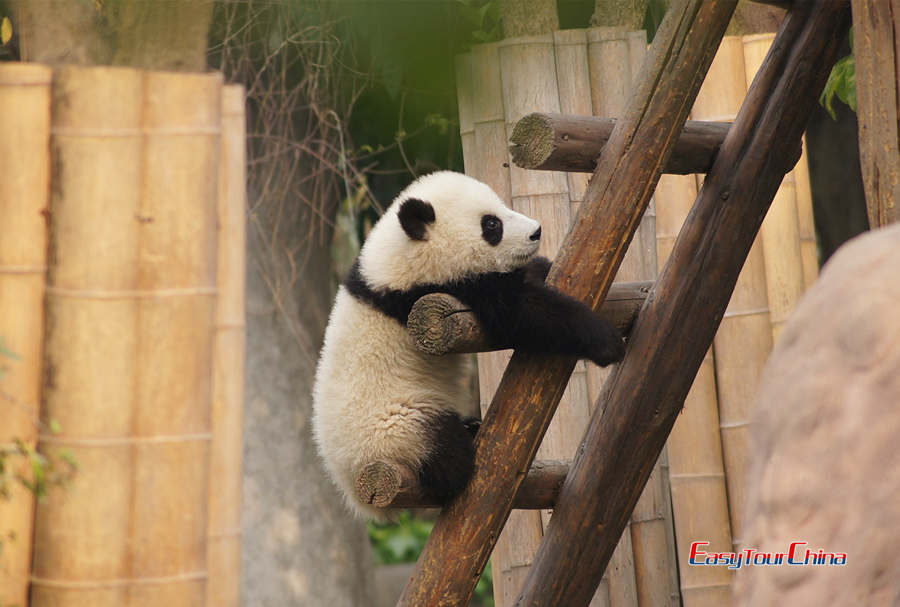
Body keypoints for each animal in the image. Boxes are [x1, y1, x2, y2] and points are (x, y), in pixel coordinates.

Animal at [312, 171, 625, 520]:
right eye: (491, 225)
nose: (536, 231)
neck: (400, 253)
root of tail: (352, 487)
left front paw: (543, 266)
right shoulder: (431, 289)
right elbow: (519, 314)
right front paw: (606, 340)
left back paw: (472, 426)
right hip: (397, 428)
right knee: (443, 453)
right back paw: (460, 455)